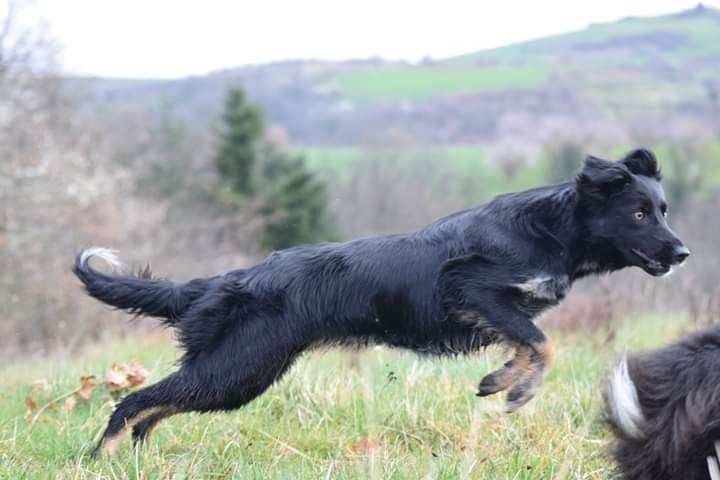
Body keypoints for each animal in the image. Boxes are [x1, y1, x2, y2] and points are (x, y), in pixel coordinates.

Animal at [76, 147, 688, 454]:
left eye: (663, 209)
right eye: (639, 213)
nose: (682, 252)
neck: (551, 228)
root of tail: (225, 280)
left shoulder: (499, 309)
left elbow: (531, 343)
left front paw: (502, 379)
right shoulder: (471, 288)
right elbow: (544, 343)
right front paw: (513, 389)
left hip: (240, 372)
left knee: (155, 407)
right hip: (238, 368)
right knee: (133, 403)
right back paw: (101, 458)